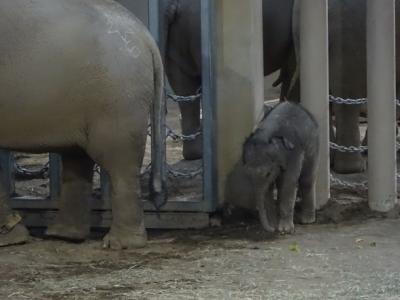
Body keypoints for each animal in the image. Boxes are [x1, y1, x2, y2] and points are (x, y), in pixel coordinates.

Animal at [0, 0, 163, 248]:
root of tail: (145, 35)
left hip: (118, 98)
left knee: (118, 160)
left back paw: (119, 243)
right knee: (77, 156)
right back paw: (63, 235)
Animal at [242, 102, 320, 234]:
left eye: (268, 173)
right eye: (247, 174)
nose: (271, 229)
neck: (267, 136)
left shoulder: (294, 154)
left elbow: (289, 182)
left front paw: (284, 230)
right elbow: (268, 188)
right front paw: (274, 225)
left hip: (313, 144)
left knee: (306, 179)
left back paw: (307, 220)